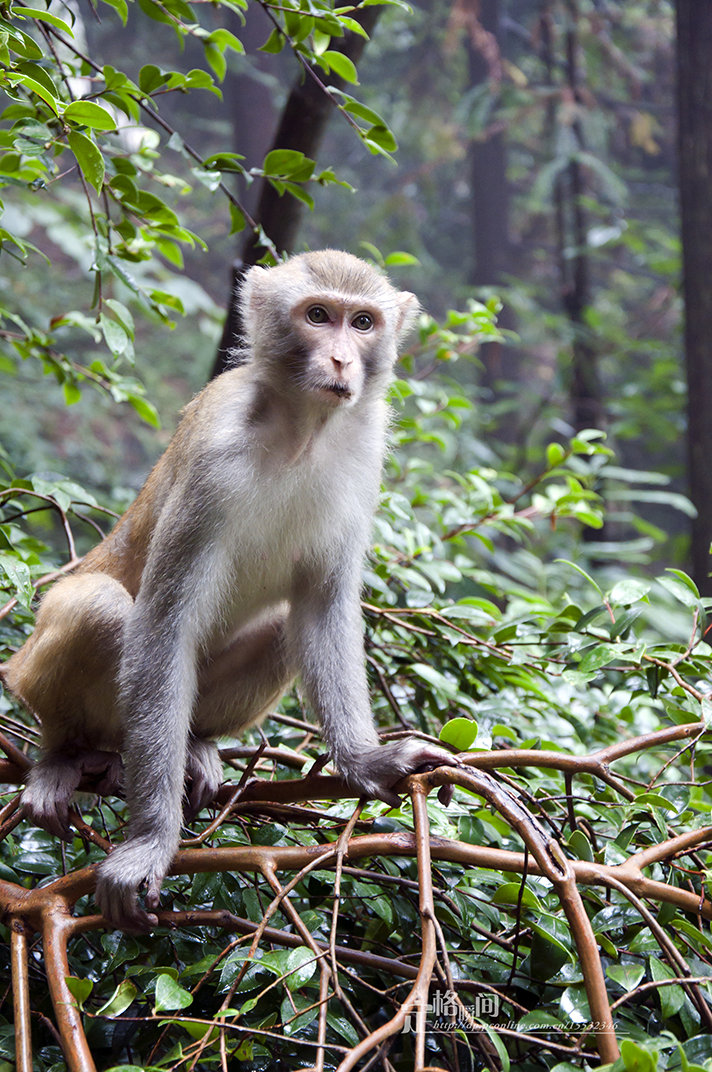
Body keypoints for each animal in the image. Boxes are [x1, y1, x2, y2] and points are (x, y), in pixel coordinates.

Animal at [1, 250, 461, 930]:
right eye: (318, 316)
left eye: (363, 322)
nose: (341, 360)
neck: (301, 430)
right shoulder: (214, 458)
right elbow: (164, 622)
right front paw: (152, 841)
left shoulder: (364, 452)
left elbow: (321, 607)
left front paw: (365, 760)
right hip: (45, 677)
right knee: (97, 611)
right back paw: (64, 755)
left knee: (280, 629)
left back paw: (196, 746)